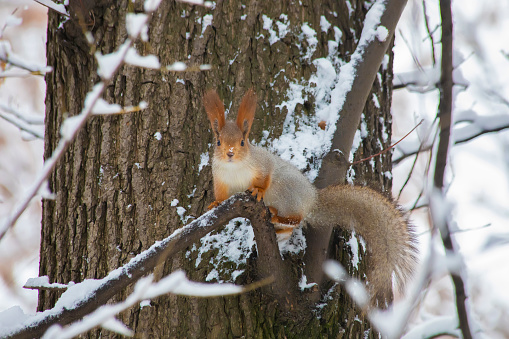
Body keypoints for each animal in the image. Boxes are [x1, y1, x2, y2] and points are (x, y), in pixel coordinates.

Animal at [202, 88, 416, 308]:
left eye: (242, 142)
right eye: (218, 142)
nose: (229, 153)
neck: (234, 167)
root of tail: (312, 200)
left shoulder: (263, 165)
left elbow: (264, 179)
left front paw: (258, 191)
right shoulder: (220, 179)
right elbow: (221, 195)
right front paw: (215, 203)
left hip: (286, 192)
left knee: (295, 218)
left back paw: (275, 215)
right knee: (292, 225)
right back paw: (277, 224)